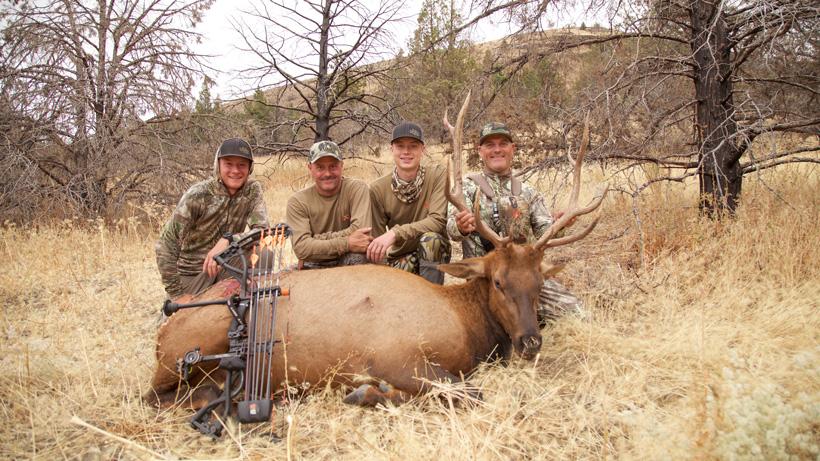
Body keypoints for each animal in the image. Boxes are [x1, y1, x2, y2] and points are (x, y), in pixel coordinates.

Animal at [143, 93, 608, 412]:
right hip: (196, 343)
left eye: (539, 280)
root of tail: (162, 334)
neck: (463, 324)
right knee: (157, 395)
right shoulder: (395, 356)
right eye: (497, 280)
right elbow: (467, 391)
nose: (530, 342)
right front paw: (368, 391)